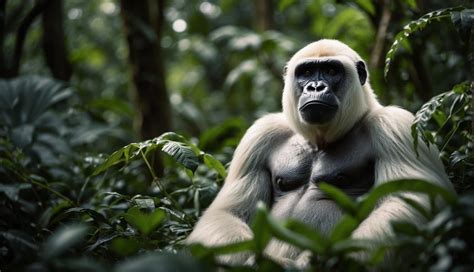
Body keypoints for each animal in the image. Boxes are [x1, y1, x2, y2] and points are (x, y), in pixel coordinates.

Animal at [187, 39, 454, 266]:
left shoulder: (396, 126)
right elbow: (228, 213)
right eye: (305, 73)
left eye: (332, 71)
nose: (315, 86)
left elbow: (409, 200)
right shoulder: (260, 136)